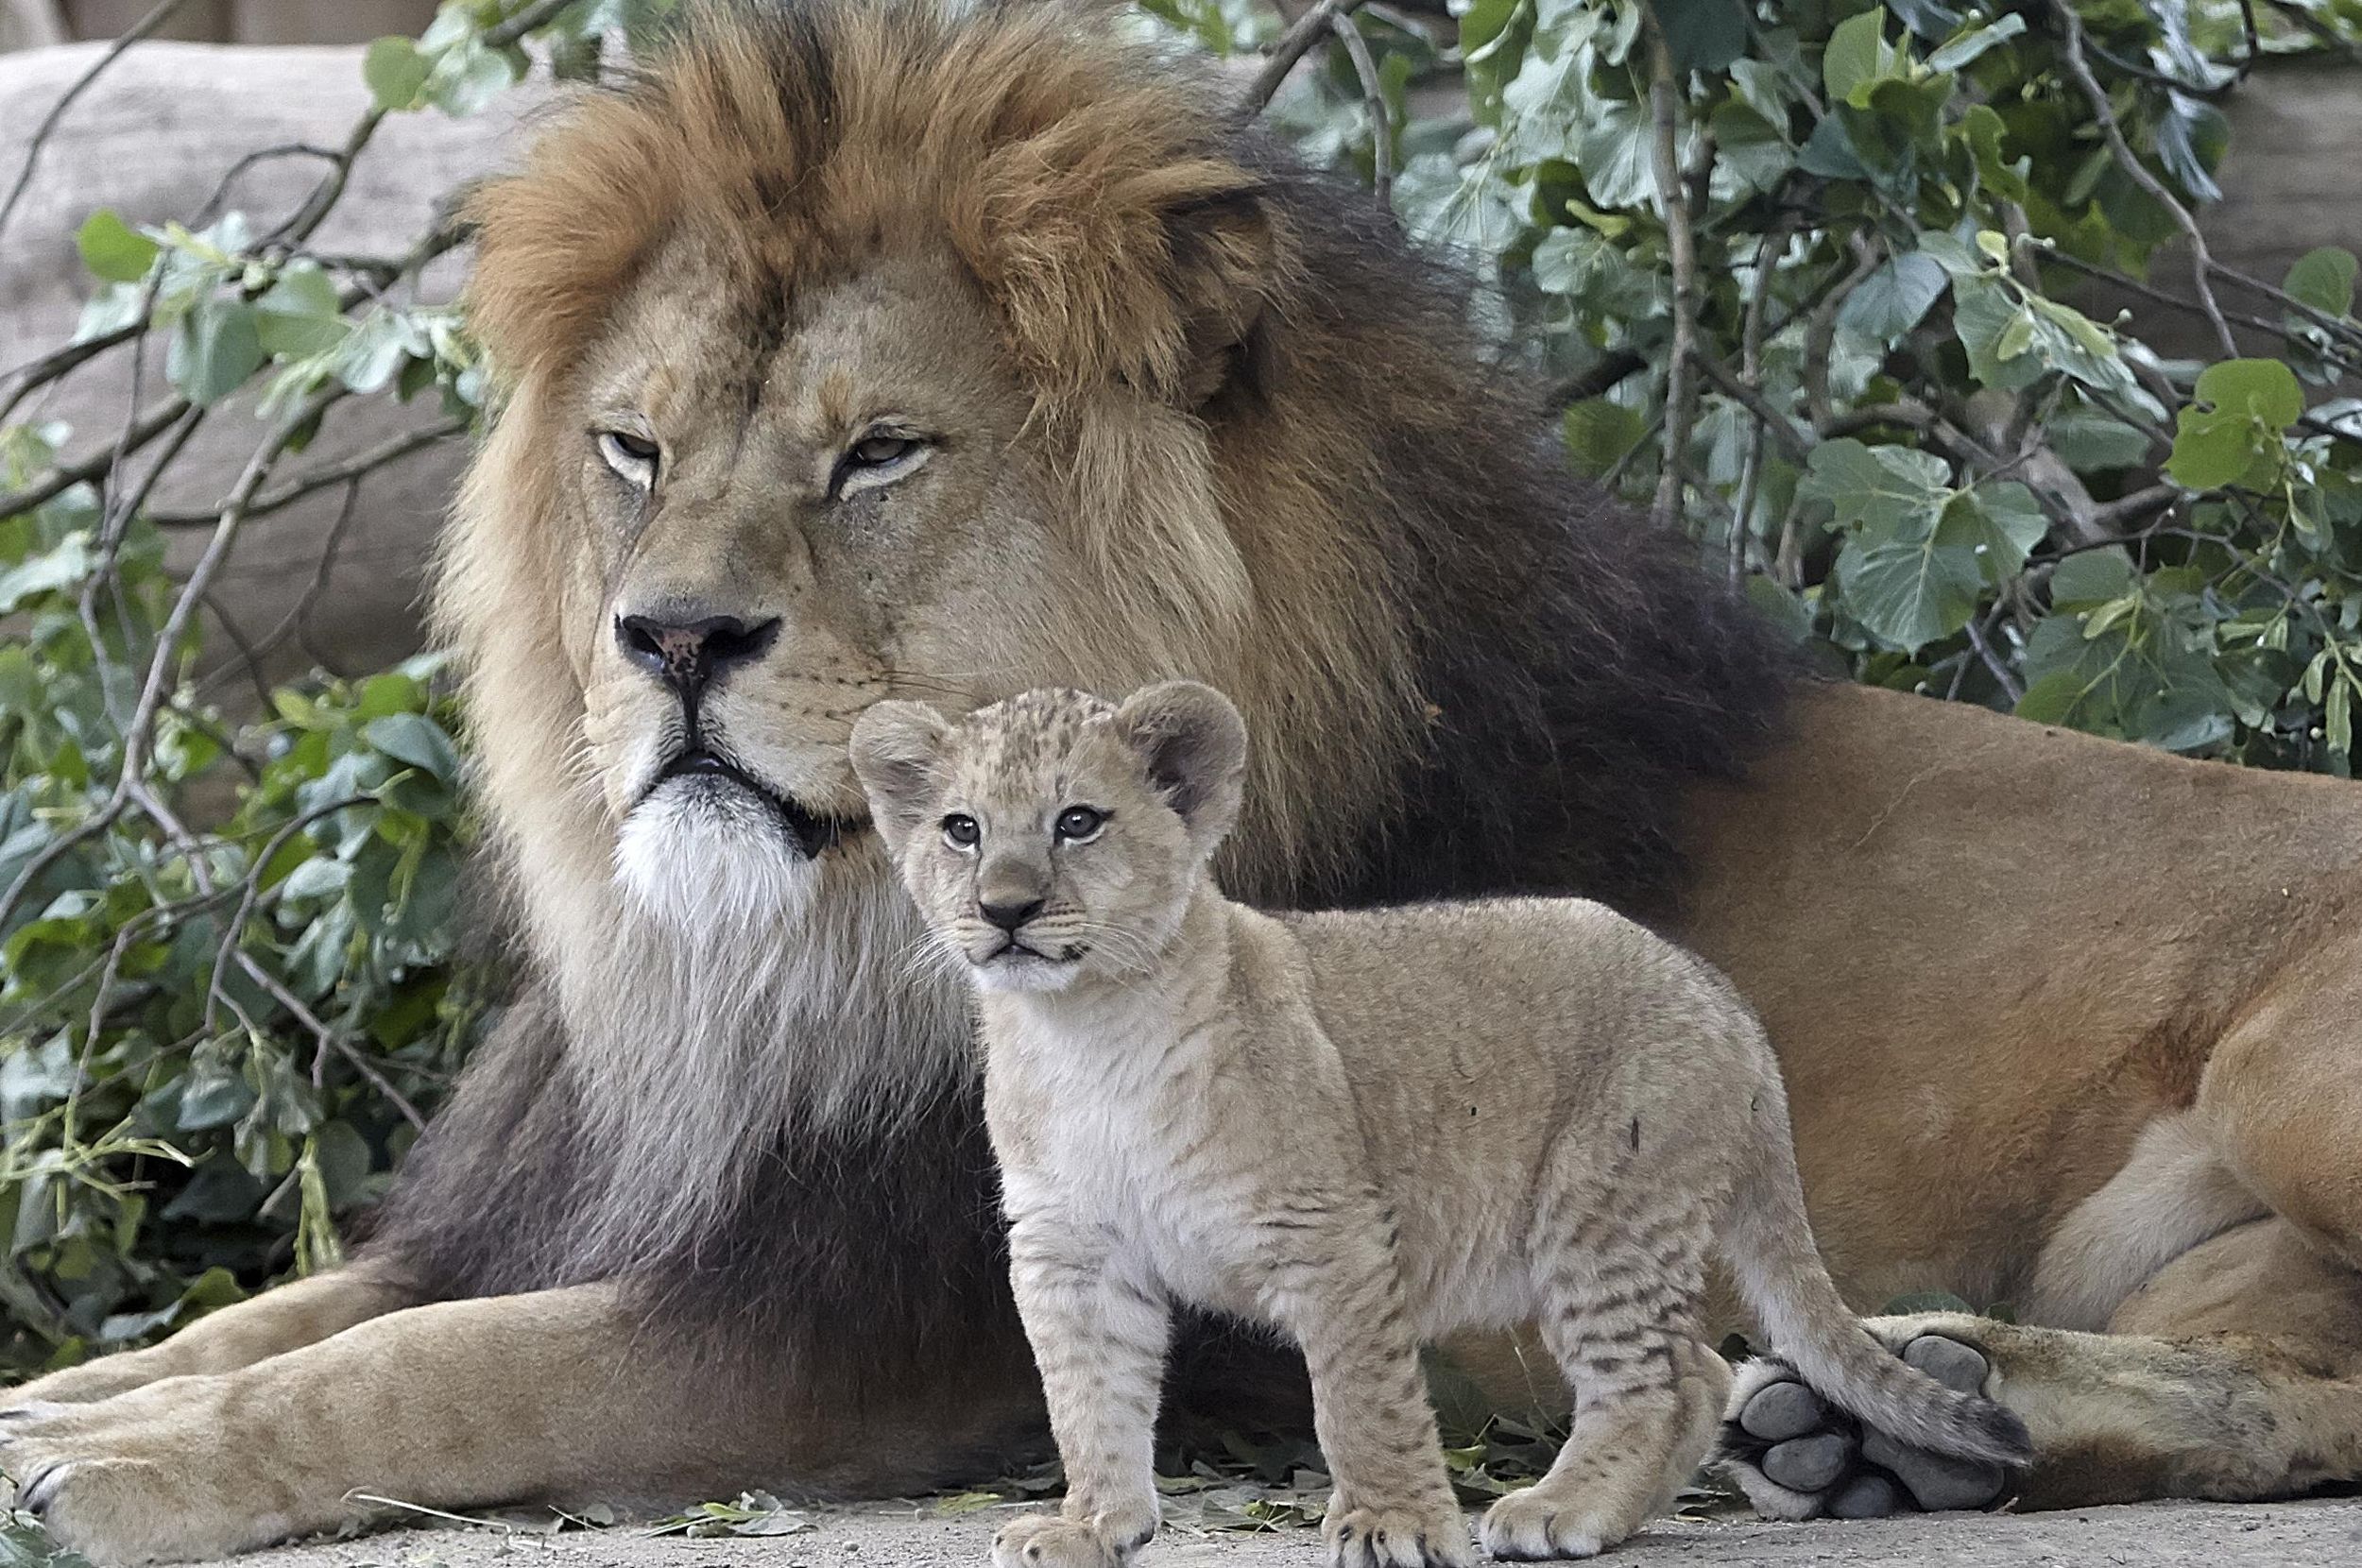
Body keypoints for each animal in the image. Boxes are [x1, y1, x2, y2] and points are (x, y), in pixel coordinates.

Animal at [4, 6, 2362, 1559]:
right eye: (634, 448)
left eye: (879, 454)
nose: (665, 639)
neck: (775, 957)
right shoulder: (610, 1200)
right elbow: (284, 1304)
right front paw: (62, 1395)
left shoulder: (868, 1325)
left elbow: (415, 1366)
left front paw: (114, 1472)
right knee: (2285, 1378)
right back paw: (1914, 1414)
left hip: (2292, 1064)